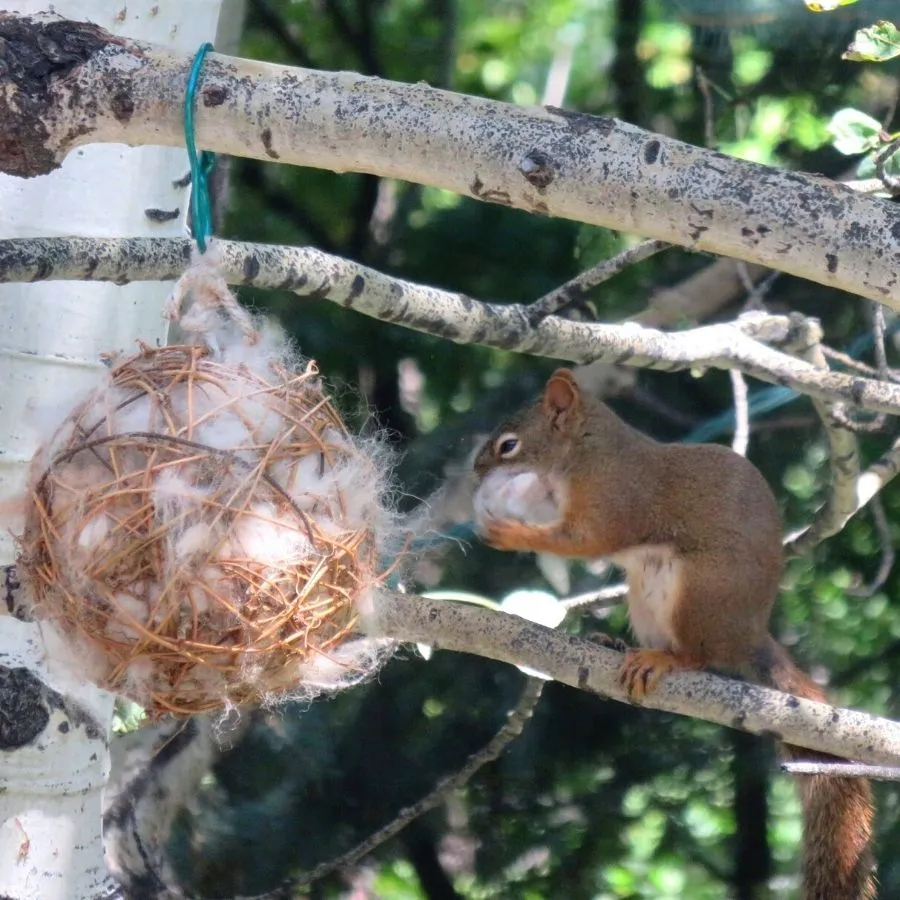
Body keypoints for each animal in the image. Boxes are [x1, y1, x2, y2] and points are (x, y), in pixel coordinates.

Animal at [472, 368, 872, 900]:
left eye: (508, 445)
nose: (476, 470)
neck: (584, 452)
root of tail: (749, 635)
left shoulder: (615, 501)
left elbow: (584, 542)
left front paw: (508, 532)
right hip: (644, 599)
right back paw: (616, 645)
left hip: (696, 593)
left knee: (700, 655)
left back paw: (666, 660)